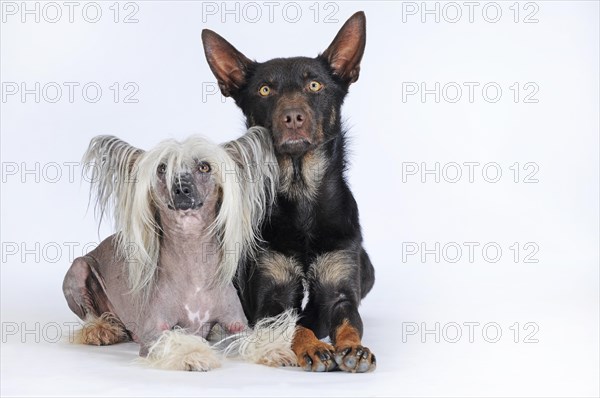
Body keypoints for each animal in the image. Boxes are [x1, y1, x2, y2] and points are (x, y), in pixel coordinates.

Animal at [204, 13, 378, 374]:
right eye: (265, 89)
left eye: (315, 86)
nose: (293, 117)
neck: (302, 197)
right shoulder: (272, 300)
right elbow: (294, 325)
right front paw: (312, 347)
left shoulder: (340, 292)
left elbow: (348, 323)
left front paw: (353, 349)